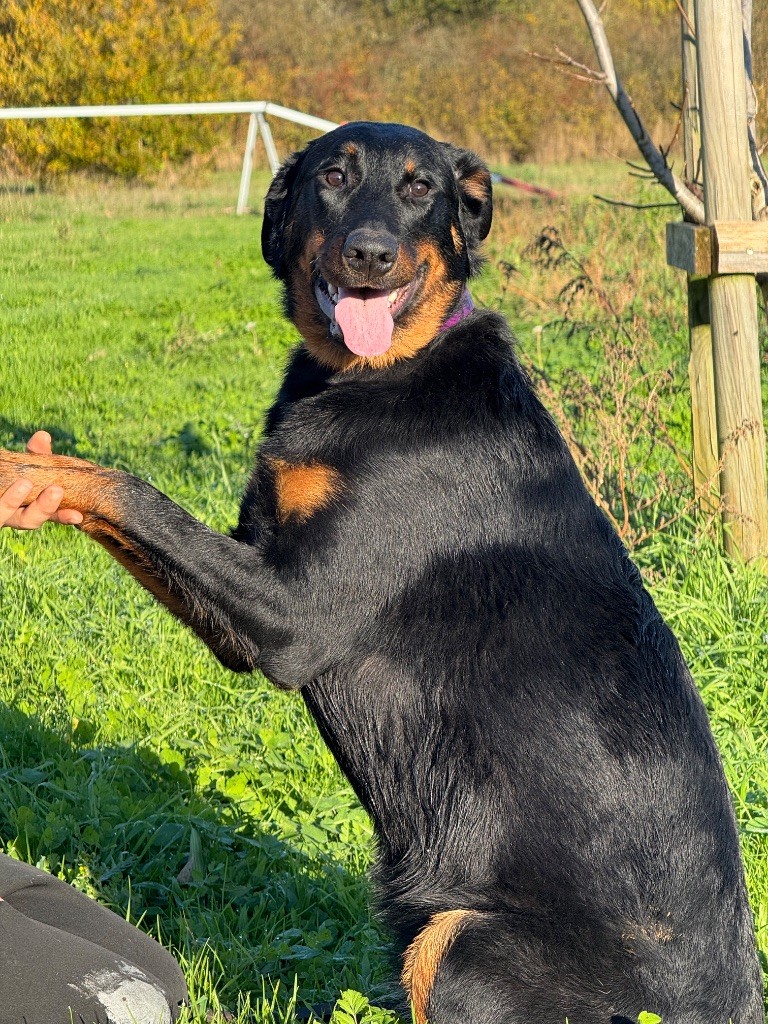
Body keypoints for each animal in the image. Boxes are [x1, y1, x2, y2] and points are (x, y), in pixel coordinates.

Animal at [0, 122, 763, 1023]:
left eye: (419, 188)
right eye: (332, 176)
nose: (370, 254)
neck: (382, 371)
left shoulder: (291, 616)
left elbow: (129, 488)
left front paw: (22, 467)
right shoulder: (247, 594)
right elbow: (138, 517)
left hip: (457, 942)